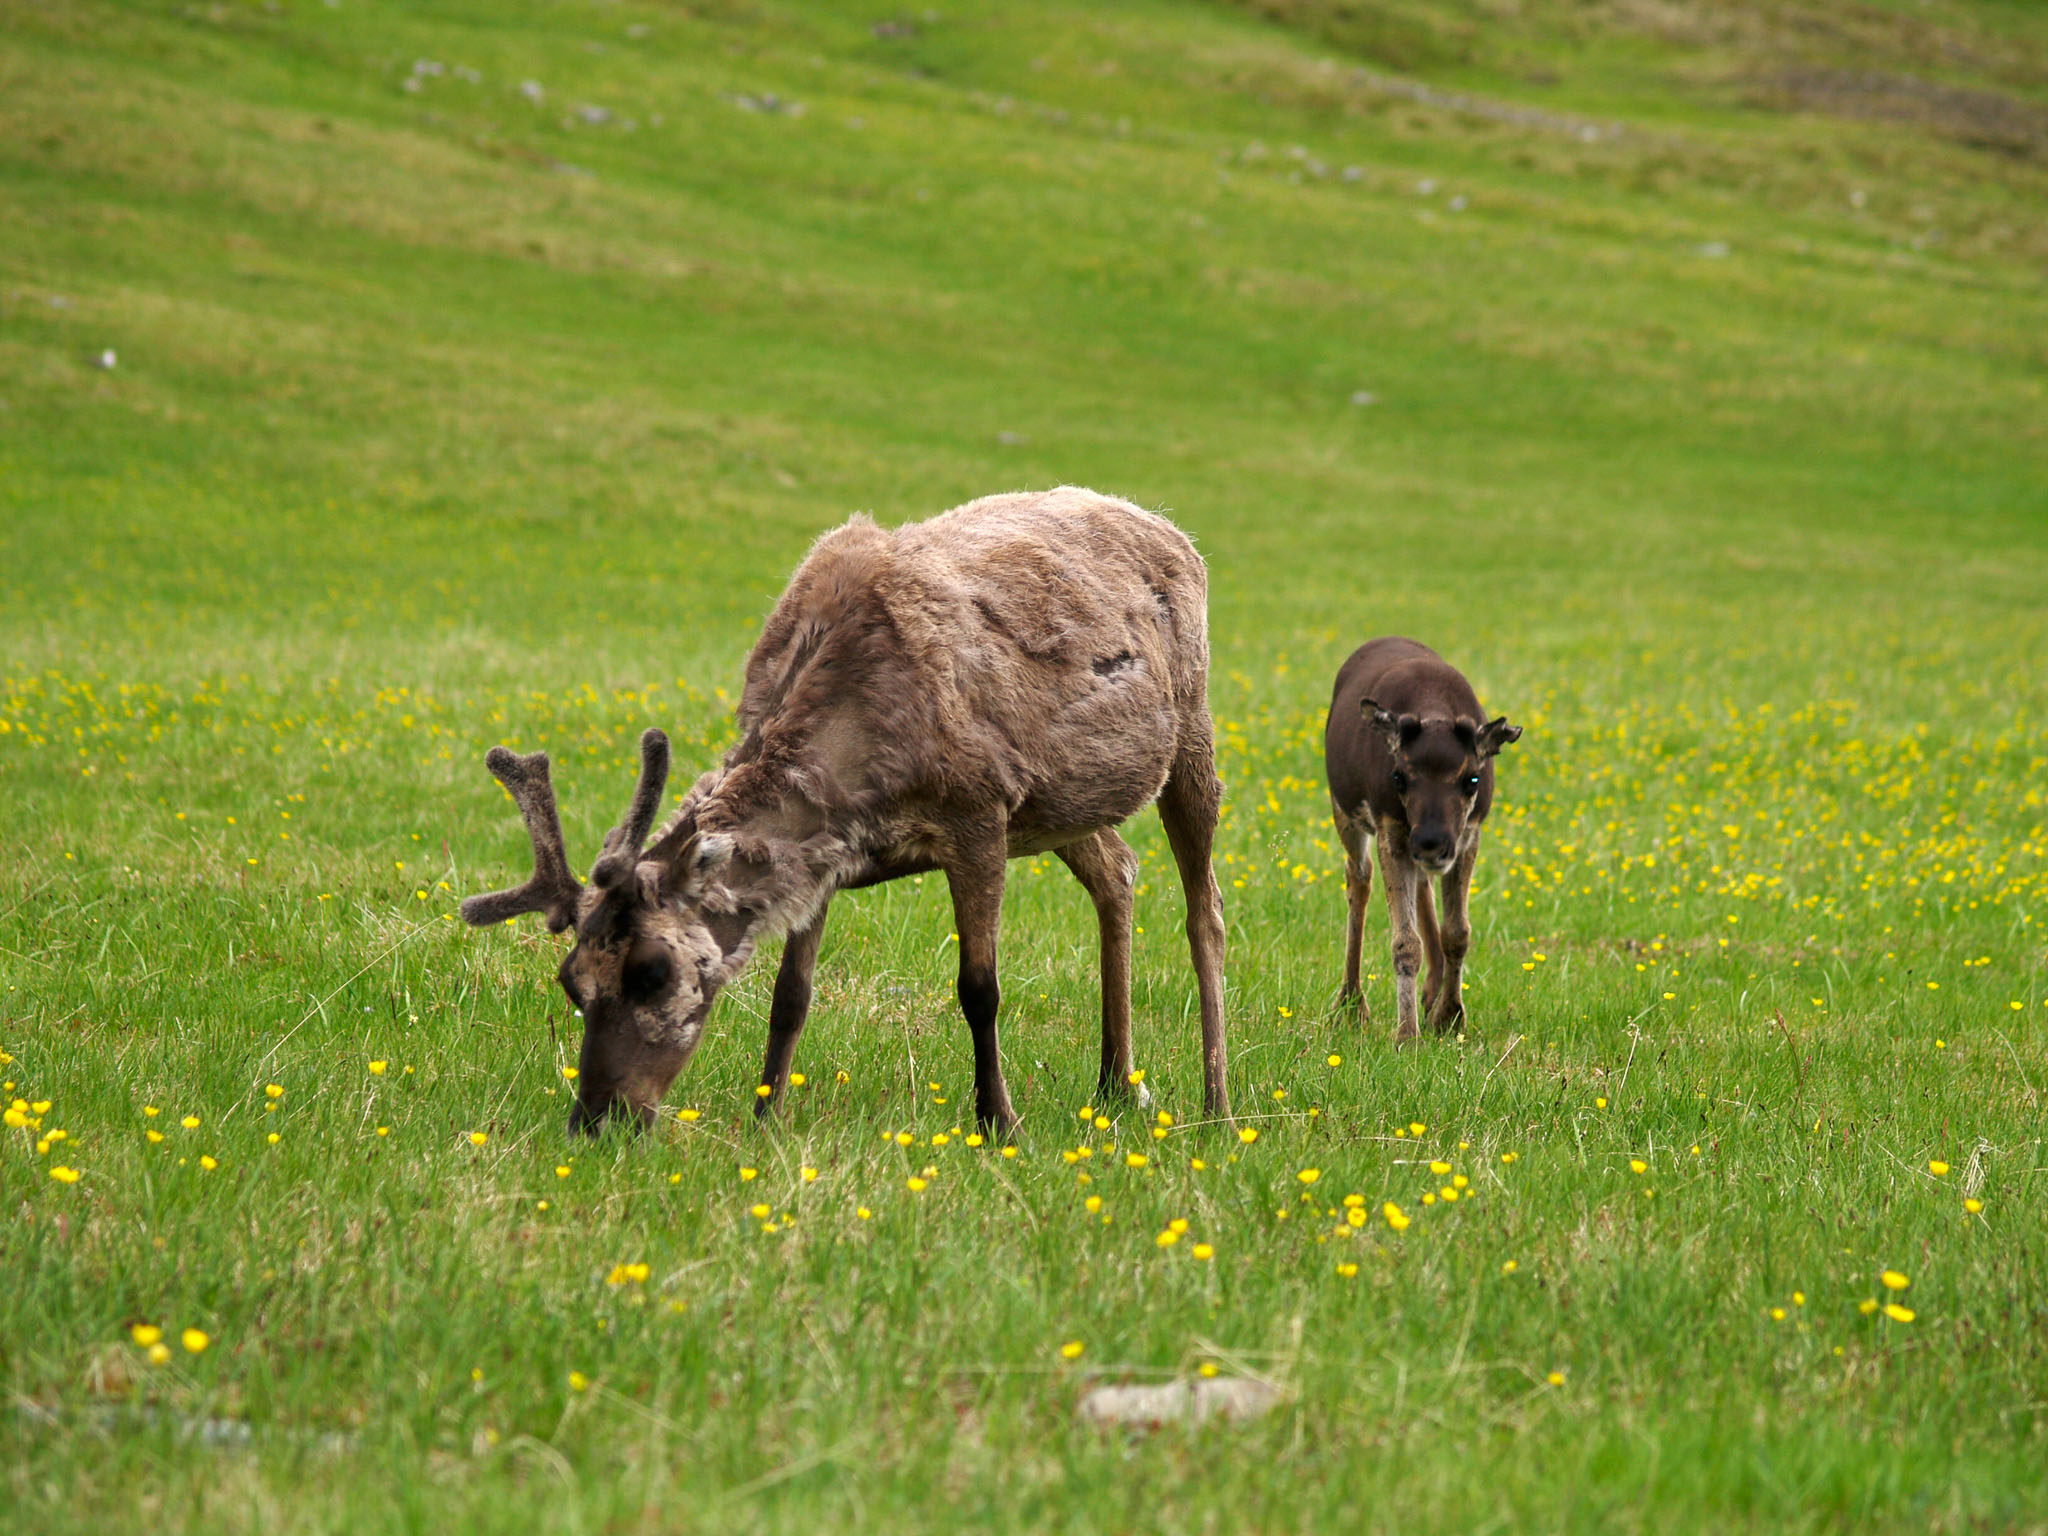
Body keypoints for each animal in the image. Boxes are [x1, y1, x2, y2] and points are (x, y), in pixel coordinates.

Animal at [1327, 638, 1523, 1048]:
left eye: (1473, 778)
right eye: (1398, 776)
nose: (1432, 841)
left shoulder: (1468, 833)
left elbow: (1458, 932)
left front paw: (1450, 1015)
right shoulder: (1390, 826)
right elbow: (1405, 942)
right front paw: (1407, 1033)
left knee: (1421, 884)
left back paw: (1431, 992)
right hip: (1345, 810)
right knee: (1359, 877)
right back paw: (1352, 1002)